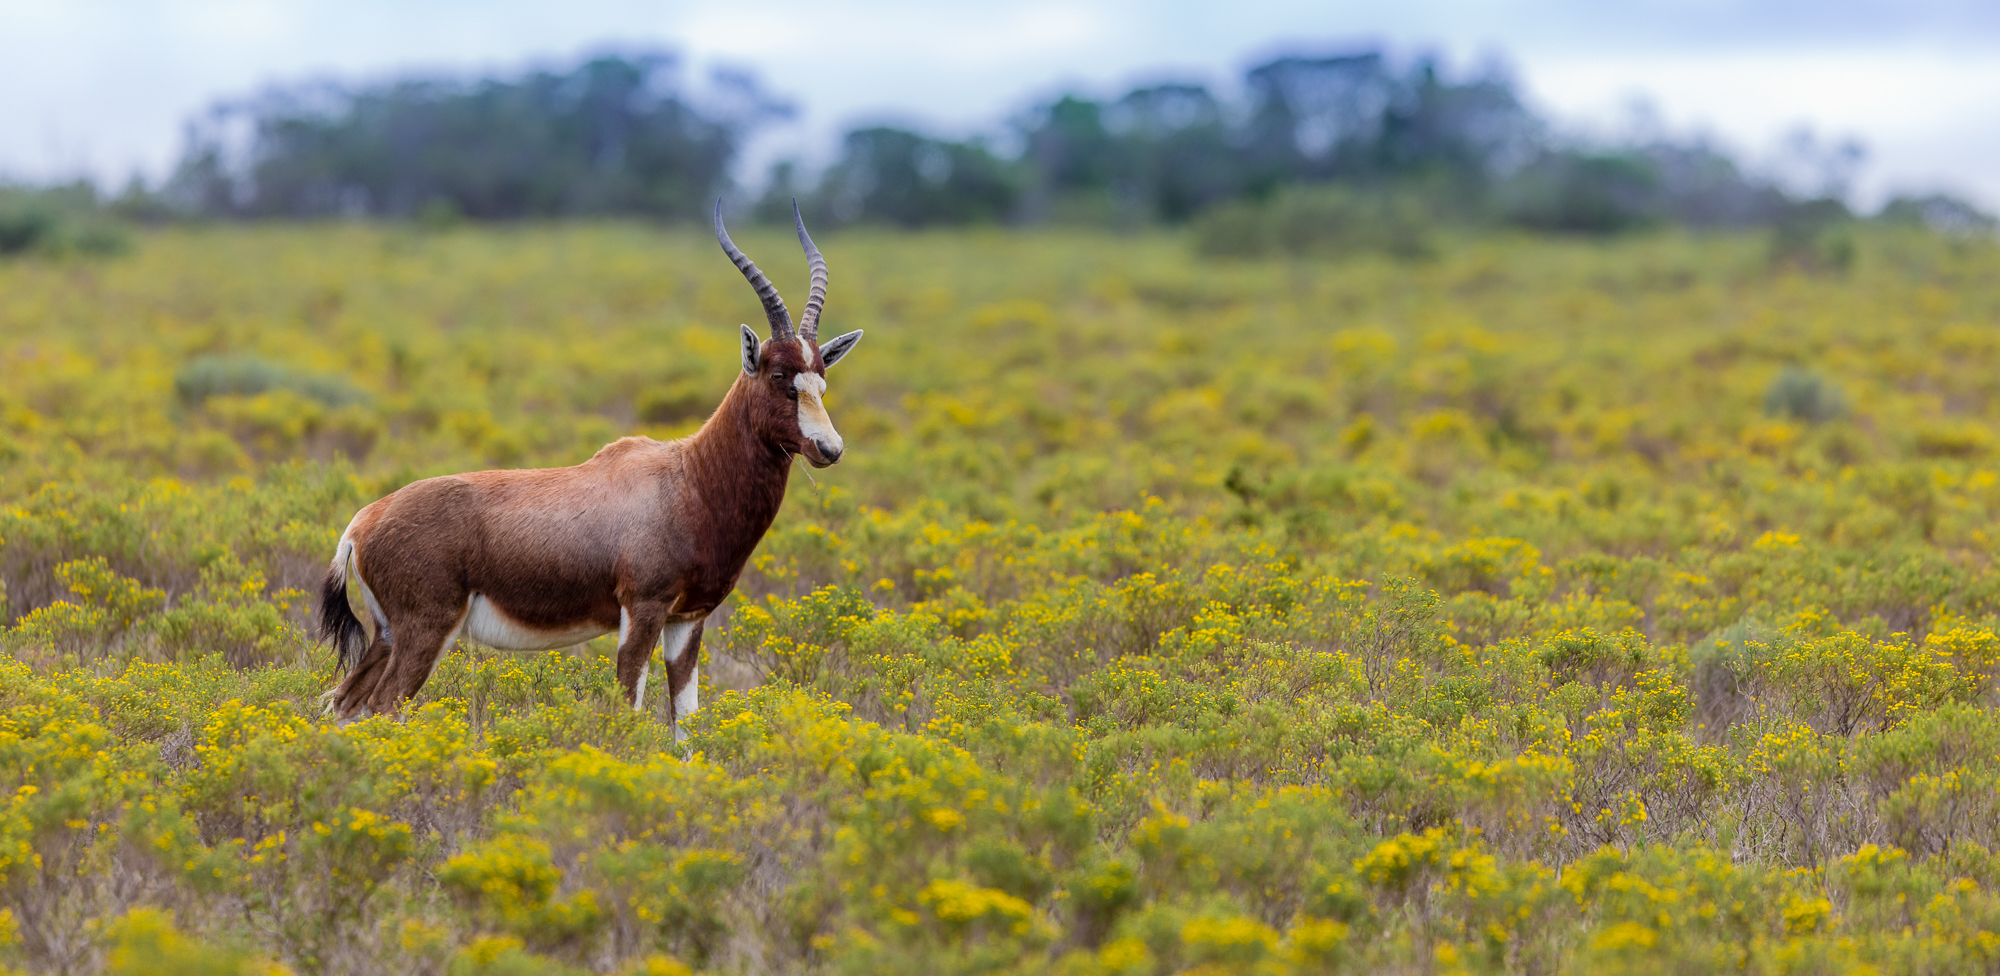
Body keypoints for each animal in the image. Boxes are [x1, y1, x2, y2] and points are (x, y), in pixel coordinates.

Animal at [312, 202, 860, 736]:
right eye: (779, 375)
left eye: (822, 378)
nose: (828, 448)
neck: (688, 479)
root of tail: (362, 524)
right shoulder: (642, 610)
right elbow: (628, 710)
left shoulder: (688, 619)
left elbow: (686, 727)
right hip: (425, 630)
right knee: (383, 706)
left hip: (386, 635)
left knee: (342, 703)